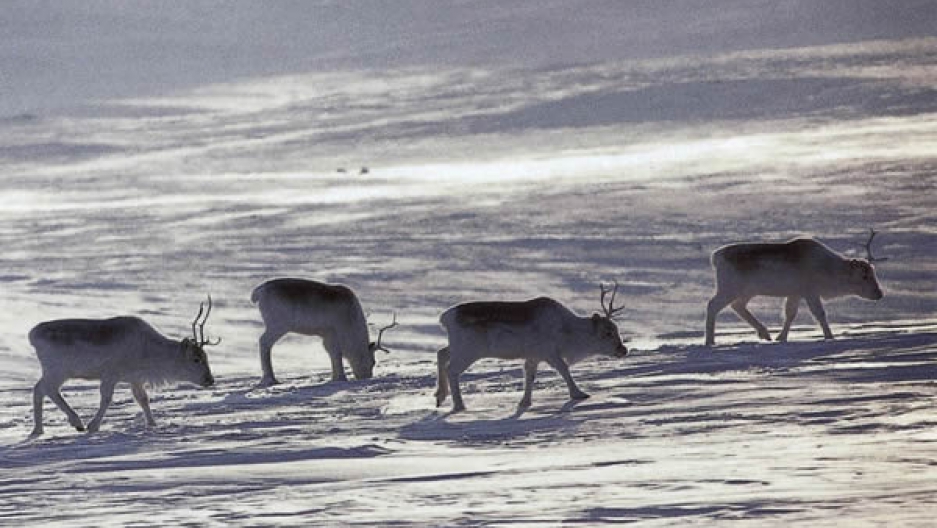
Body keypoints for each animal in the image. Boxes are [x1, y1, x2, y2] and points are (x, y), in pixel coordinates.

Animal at [29, 297, 218, 436]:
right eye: (196, 359)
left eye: (206, 357)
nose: (210, 379)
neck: (149, 353)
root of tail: (32, 335)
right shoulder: (111, 375)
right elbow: (106, 398)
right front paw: (93, 426)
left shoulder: (135, 379)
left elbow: (143, 399)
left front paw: (153, 424)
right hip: (58, 370)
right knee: (47, 389)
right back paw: (77, 422)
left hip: (53, 371)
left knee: (39, 389)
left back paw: (38, 430)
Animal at [251, 278, 397, 387]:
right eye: (373, 362)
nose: (365, 377)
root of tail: (259, 292)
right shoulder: (334, 334)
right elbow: (336, 354)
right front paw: (341, 378)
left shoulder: (327, 335)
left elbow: (332, 354)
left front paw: (335, 378)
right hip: (278, 326)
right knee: (264, 342)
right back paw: (270, 380)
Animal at [435, 283, 630, 413]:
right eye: (607, 332)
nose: (623, 350)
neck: (568, 332)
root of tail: (444, 318)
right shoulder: (549, 353)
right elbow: (564, 370)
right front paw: (579, 394)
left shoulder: (533, 356)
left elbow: (529, 375)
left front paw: (525, 402)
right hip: (468, 351)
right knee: (451, 369)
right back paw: (459, 405)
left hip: (457, 346)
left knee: (441, 353)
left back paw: (440, 396)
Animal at [704, 230, 886, 346]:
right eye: (864, 276)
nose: (879, 293)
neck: (830, 269)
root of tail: (715, 257)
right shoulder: (810, 293)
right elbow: (819, 314)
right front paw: (830, 336)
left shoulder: (795, 294)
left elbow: (790, 314)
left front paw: (781, 338)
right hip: (729, 289)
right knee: (713, 306)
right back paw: (710, 341)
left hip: (746, 292)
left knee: (738, 306)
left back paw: (765, 334)